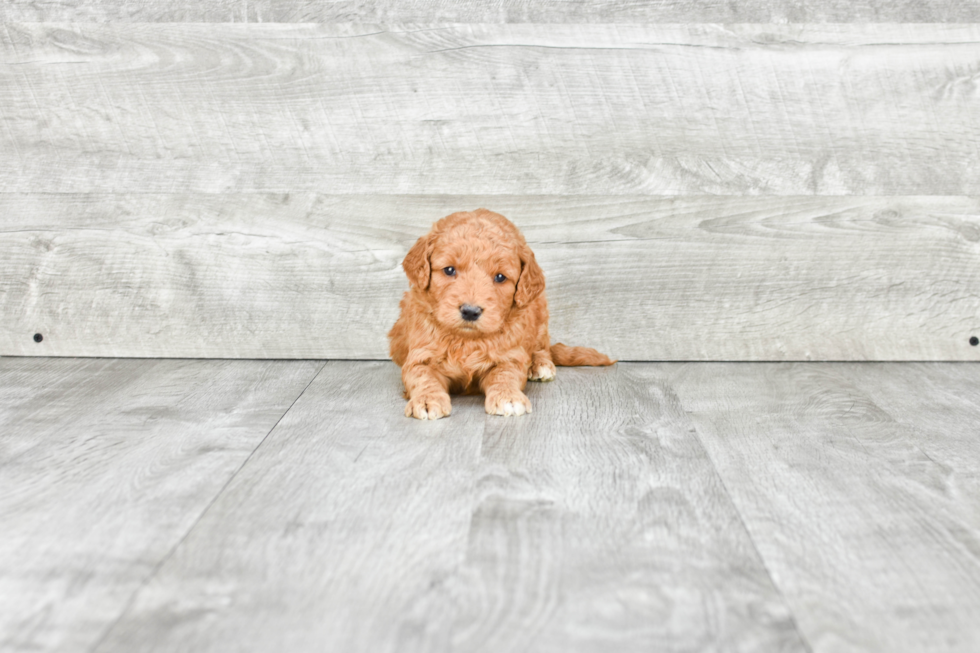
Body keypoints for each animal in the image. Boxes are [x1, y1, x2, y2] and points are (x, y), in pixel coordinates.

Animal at [388, 211, 612, 420]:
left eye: (500, 277)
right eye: (449, 270)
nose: (470, 311)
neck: (467, 340)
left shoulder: (510, 356)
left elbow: (505, 375)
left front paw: (508, 397)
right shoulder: (420, 356)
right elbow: (423, 377)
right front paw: (427, 400)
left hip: (539, 311)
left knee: (542, 346)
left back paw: (541, 365)